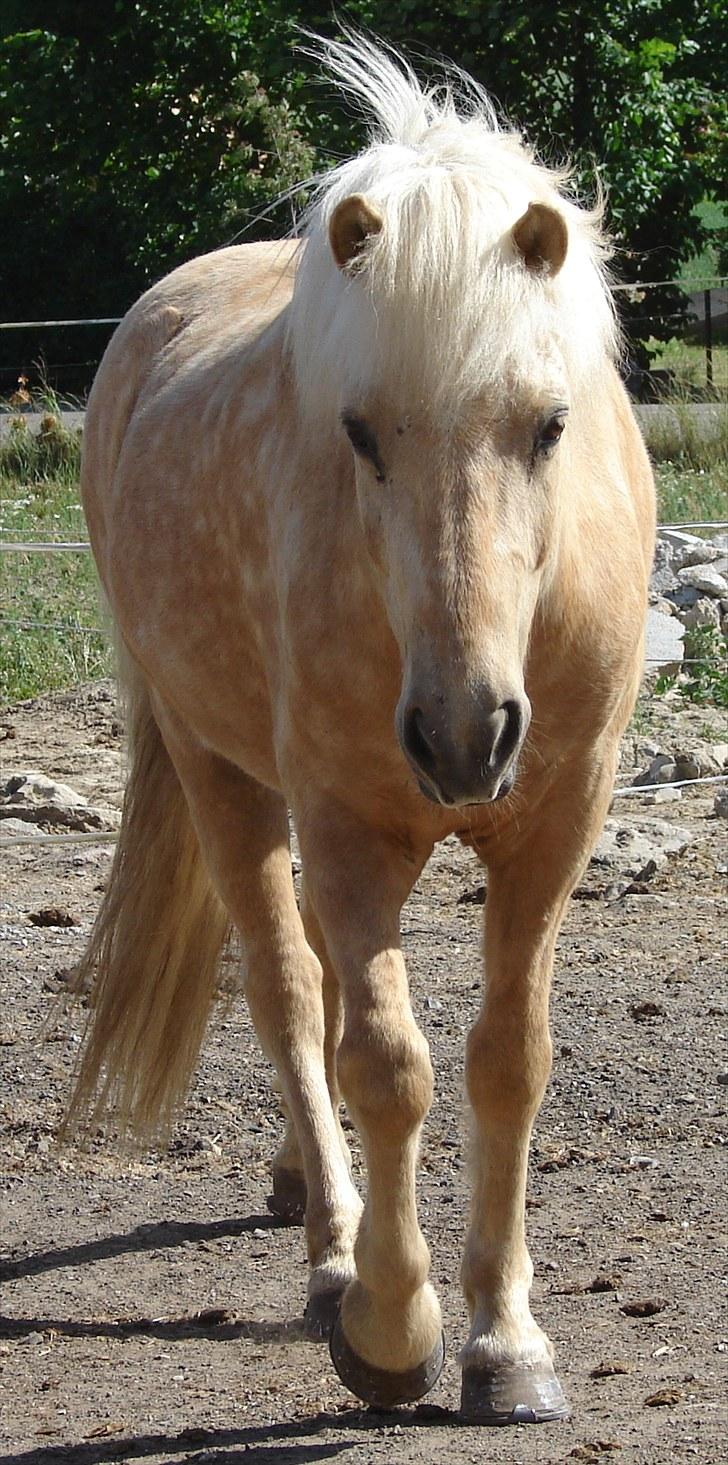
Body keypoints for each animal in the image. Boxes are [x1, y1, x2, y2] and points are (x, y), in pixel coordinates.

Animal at [72, 34, 653, 1429]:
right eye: (357, 433)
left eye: (548, 425)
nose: (462, 736)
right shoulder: (341, 822)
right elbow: (387, 1066)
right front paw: (393, 1330)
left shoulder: (553, 829)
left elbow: (506, 1061)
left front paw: (507, 1342)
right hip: (225, 776)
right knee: (290, 996)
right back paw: (330, 1248)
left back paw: (303, 1185)